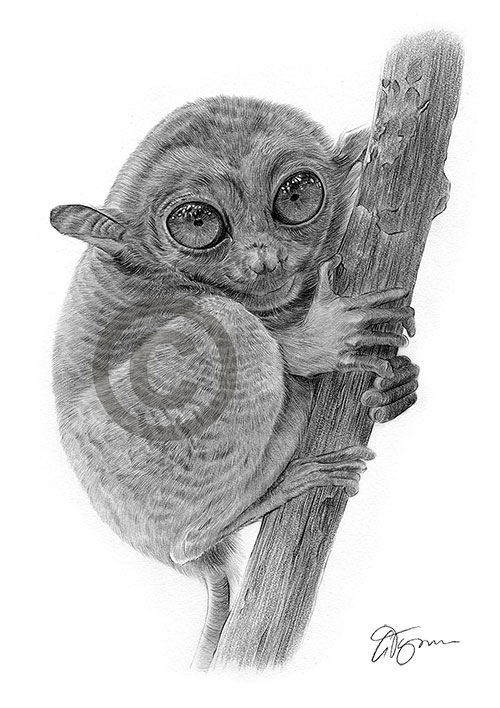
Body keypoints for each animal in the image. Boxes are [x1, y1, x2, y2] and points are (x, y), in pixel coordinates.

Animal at [50, 96, 419, 671]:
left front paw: (399, 385)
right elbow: (270, 338)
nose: (264, 259)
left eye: (297, 195)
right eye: (199, 222)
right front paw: (323, 336)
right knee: (235, 327)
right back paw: (280, 488)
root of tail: (194, 568)